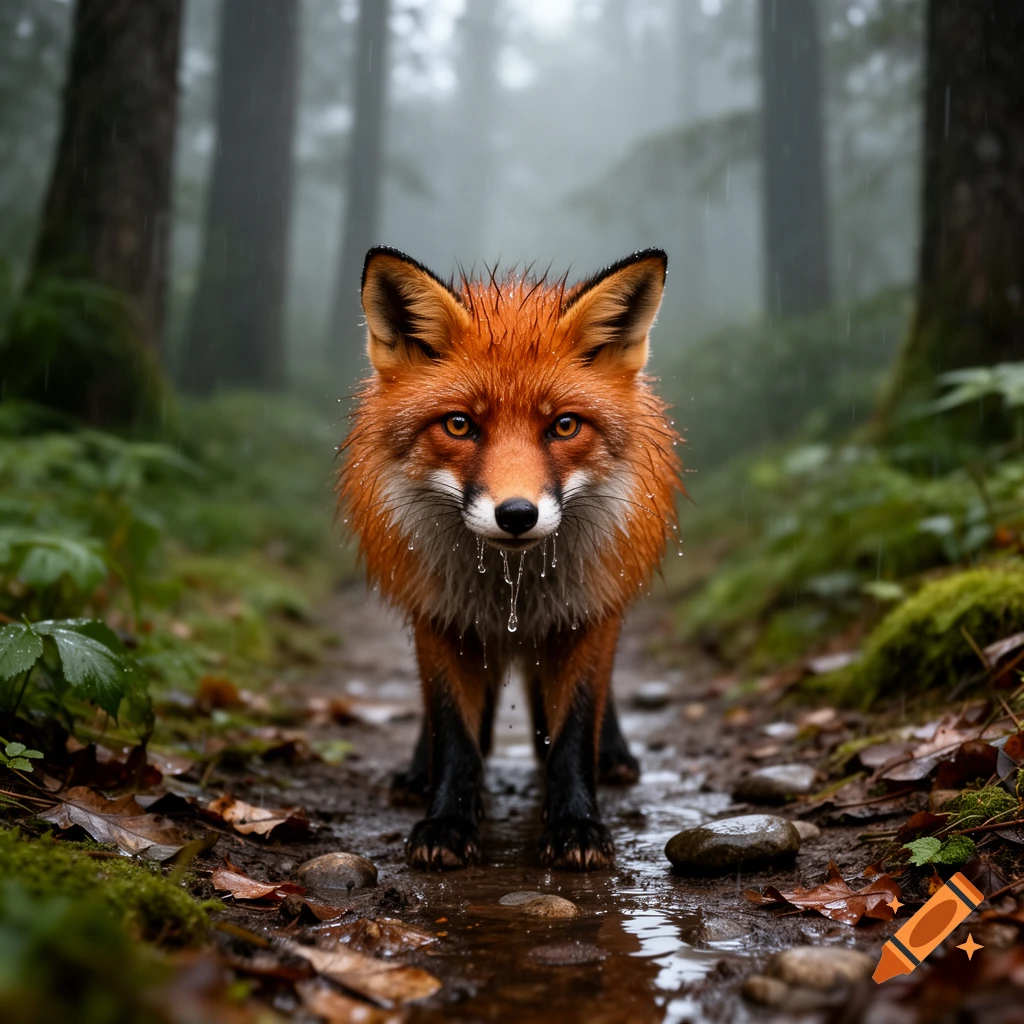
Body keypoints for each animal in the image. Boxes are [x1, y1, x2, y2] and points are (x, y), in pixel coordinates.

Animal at [338, 246, 682, 871]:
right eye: (459, 424)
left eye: (564, 425)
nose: (517, 514)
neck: (510, 591)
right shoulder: (442, 617)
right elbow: (453, 733)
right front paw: (448, 821)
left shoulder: (585, 615)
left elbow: (575, 730)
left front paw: (575, 823)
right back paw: (417, 772)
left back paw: (613, 755)